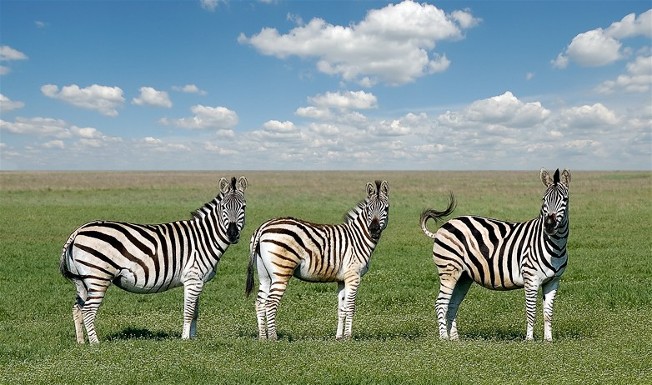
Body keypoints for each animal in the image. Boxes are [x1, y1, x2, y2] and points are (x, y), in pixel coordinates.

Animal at [59, 176, 247, 342]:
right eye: (224, 207)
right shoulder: (193, 278)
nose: (232, 234)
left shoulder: (198, 281)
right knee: (88, 310)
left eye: (243, 207)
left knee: (77, 309)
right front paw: (185, 340)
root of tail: (79, 230)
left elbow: (195, 312)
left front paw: (193, 338)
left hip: (82, 281)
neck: (204, 237)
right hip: (98, 277)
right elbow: (188, 311)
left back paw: (81, 342)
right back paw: (95, 344)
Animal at [244, 180, 388, 340]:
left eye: (386, 208)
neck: (357, 237)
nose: (374, 229)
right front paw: (348, 337)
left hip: (264, 274)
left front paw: (339, 337)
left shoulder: (342, 279)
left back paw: (263, 338)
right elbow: (350, 307)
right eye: (369, 209)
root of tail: (262, 227)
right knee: (270, 303)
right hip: (281, 271)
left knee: (259, 303)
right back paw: (274, 338)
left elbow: (341, 308)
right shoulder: (353, 276)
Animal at [420, 168, 568, 340]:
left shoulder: (553, 281)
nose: (549, 225)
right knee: (441, 303)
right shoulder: (531, 278)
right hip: (448, 270)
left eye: (565, 199)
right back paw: (444, 338)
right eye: (544, 199)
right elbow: (531, 311)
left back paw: (455, 339)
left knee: (452, 304)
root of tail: (443, 227)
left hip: (463, 277)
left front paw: (548, 340)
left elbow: (548, 313)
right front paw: (529, 340)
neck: (554, 245)